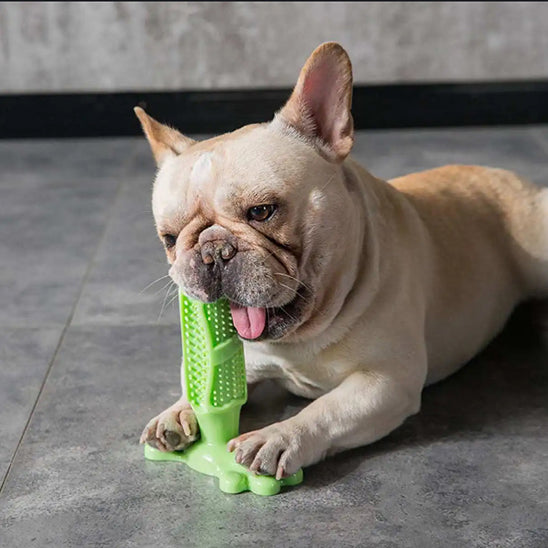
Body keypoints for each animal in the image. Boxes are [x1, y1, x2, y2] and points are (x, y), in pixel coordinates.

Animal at [136, 42, 548, 480]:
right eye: (169, 238)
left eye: (263, 211)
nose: (212, 251)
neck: (302, 338)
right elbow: (198, 382)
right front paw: (177, 412)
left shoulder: (386, 382)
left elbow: (325, 410)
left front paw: (279, 437)